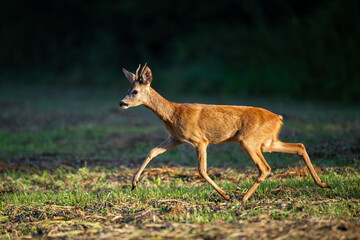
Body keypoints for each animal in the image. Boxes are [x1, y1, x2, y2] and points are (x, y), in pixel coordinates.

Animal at [119, 63, 330, 202]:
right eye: (128, 88)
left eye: (135, 91)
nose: (122, 103)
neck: (173, 114)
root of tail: (278, 118)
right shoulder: (175, 138)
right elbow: (152, 151)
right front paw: (134, 183)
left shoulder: (199, 140)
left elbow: (202, 170)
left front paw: (225, 195)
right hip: (267, 141)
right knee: (299, 146)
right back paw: (323, 184)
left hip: (248, 140)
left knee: (265, 167)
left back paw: (242, 198)